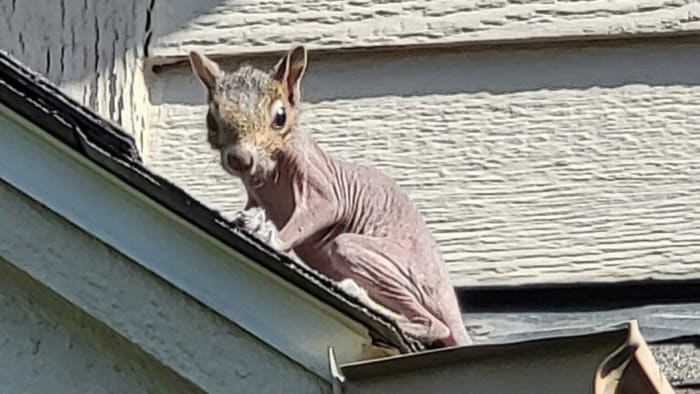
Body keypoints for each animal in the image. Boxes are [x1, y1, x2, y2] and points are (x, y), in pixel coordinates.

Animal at [189, 45, 474, 348]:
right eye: (211, 119)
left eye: (280, 117)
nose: (240, 160)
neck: (268, 169)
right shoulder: (254, 194)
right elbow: (251, 208)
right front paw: (243, 219)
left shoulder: (318, 178)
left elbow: (323, 208)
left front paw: (272, 237)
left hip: (383, 263)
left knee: (435, 325)